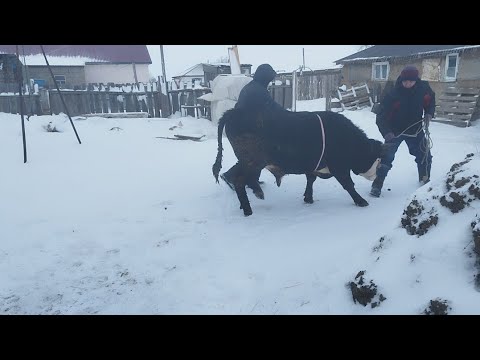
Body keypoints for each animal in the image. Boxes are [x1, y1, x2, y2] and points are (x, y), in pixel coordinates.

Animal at [212, 109, 388, 217]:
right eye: (377, 158)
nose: (377, 174)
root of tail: (234, 112)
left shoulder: (313, 165)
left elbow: (311, 179)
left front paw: (308, 198)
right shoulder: (339, 167)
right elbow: (348, 184)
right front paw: (361, 201)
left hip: (249, 162)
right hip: (252, 162)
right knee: (240, 180)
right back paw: (248, 209)